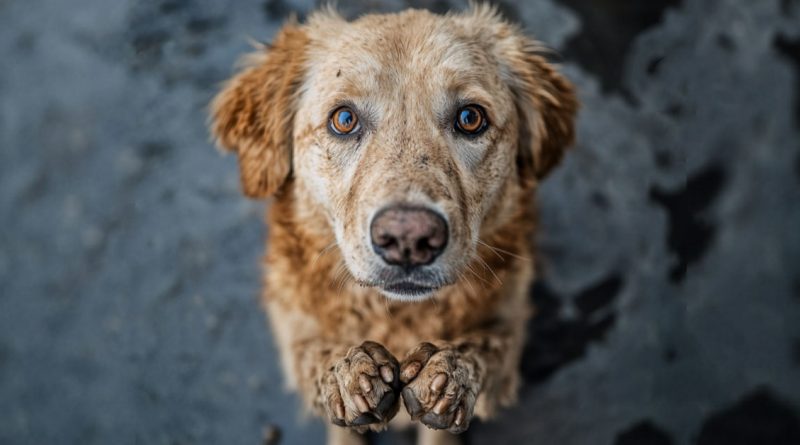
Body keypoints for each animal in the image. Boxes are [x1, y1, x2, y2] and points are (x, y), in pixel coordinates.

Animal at [209, 4, 580, 444]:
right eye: (344, 119)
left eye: (471, 118)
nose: (408, 238)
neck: (397, 316)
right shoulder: (295, 330)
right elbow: (318, 360)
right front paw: (349, 376)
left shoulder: (509, 325)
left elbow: (483, 352)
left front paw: (449, 378)